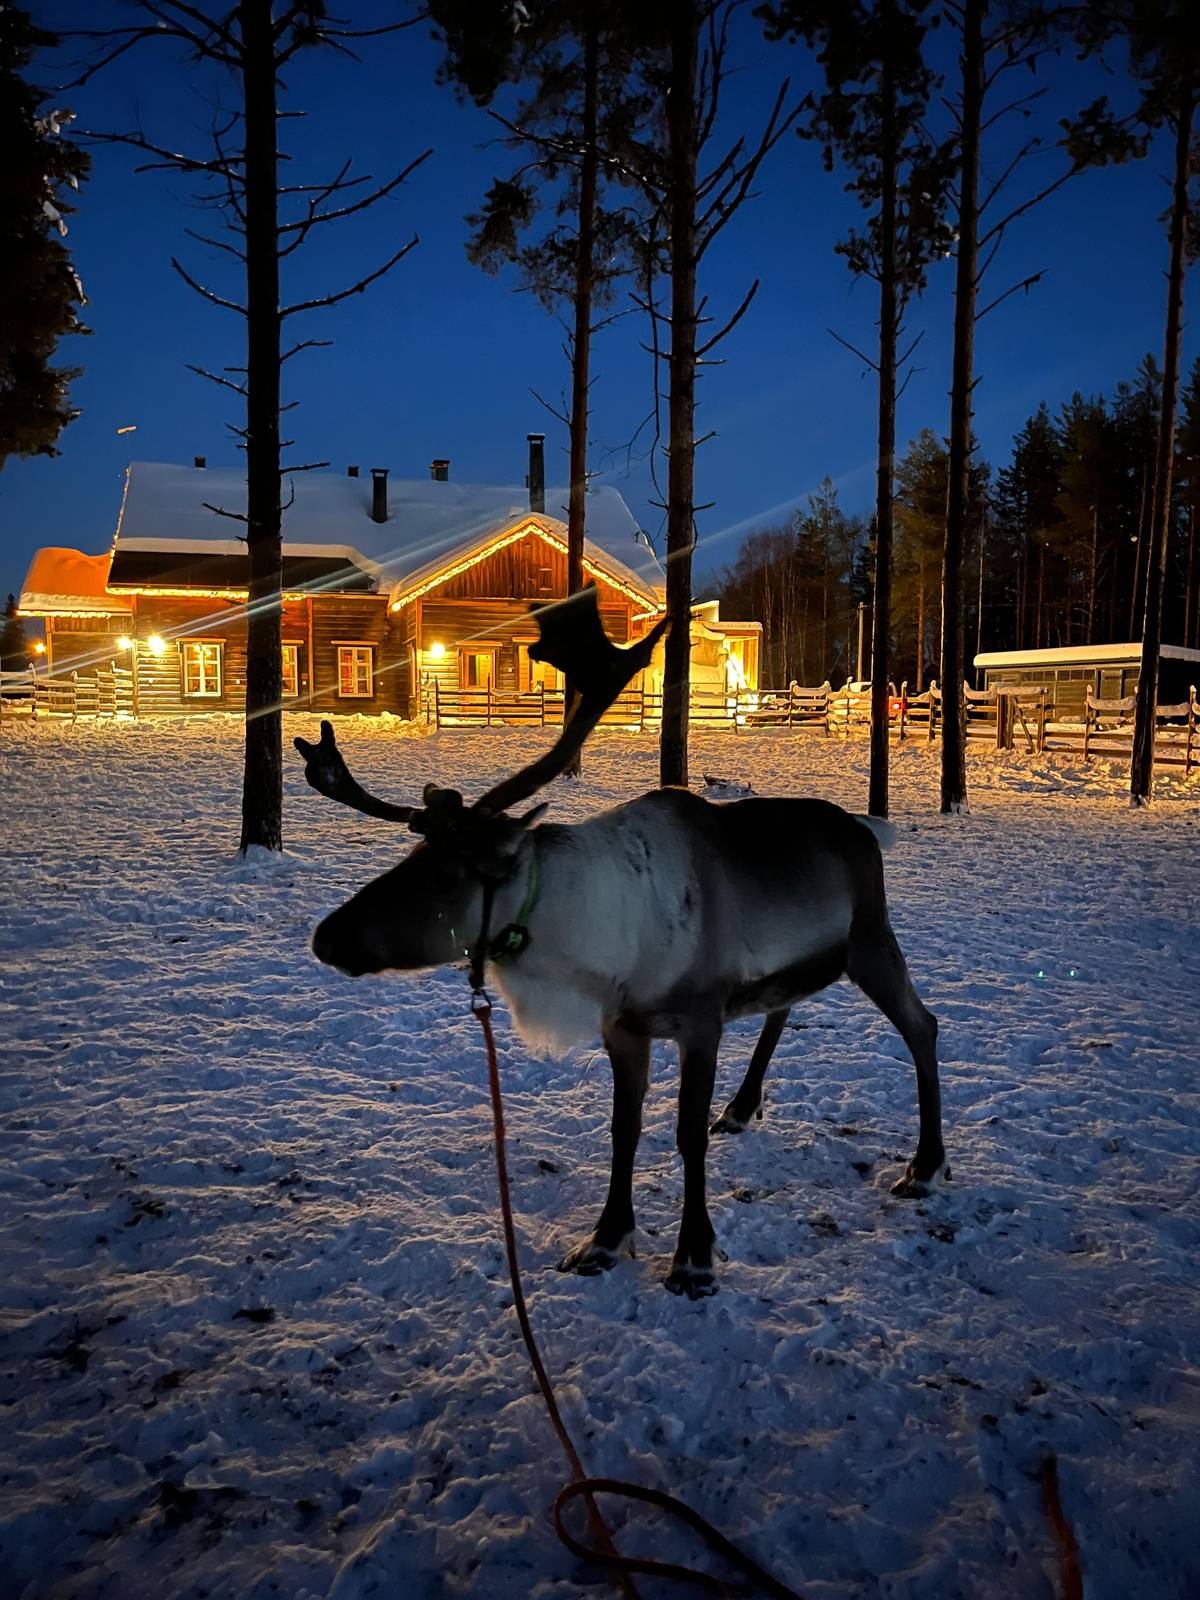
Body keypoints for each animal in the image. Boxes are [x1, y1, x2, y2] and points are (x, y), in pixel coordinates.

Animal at [297, 588, 947, 1299]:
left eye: (446, 874)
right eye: (411, 855)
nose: (327, 936)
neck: (598, 945)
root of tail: (864, 830)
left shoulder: (699, 1020)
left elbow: (685, 1135)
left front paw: (692, 1256)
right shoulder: (624, 1027)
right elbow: (623, 1130)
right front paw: (606, 1239)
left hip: (871, 939)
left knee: (923, 1025)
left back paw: (925, 1166)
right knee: (783, 1005)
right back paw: (742, 1108)